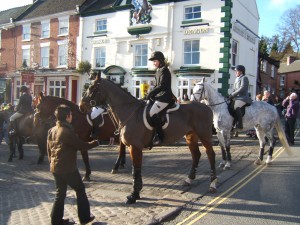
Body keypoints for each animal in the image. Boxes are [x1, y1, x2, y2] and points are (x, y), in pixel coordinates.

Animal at [78, 76, 217, 205]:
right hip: (190, 137)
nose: (81, 106)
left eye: (92, 88)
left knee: (211, 155)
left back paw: (213, 184)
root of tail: (205, 106)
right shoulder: (131, 146)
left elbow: (136, 170)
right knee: (196, 155)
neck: (130, 112)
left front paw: (134, 195)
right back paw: (189, 179)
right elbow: (135, 170)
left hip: (204, 136)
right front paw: (136, 192)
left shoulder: (135, 147)